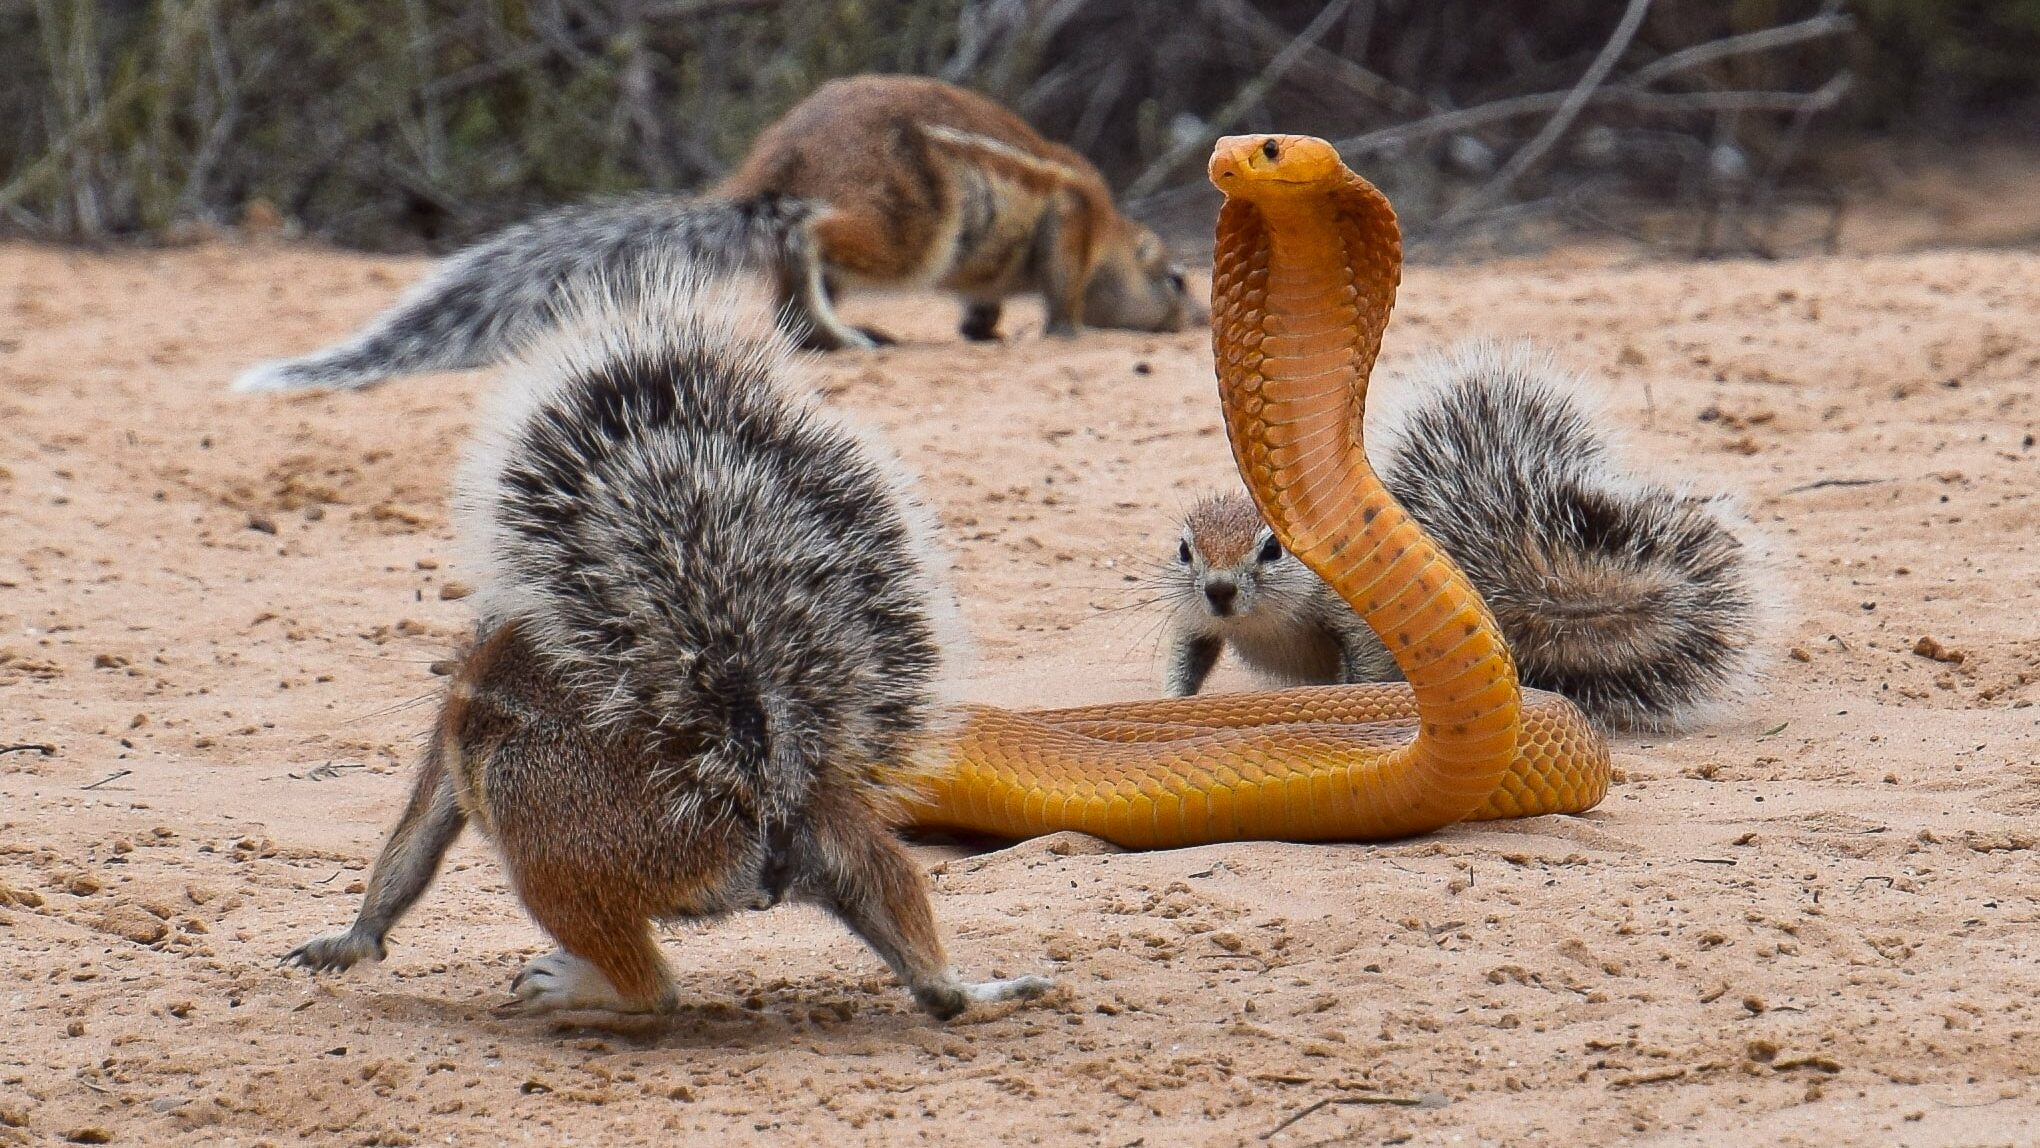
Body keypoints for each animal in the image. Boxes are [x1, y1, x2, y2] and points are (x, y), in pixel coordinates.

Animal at [234, 76, 1191, 393]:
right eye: (1177, 280)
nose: (1191, 322)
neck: (1112, 229)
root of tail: (781, 160)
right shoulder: (1069, 221)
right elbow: (1059, 284)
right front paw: (1062, 328)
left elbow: (983, 306)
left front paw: (987, 330)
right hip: (914, 220)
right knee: (810, 239)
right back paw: (852, 333)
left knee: (790, 293)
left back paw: (837, 336)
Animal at [287, 263, 1052, 1023]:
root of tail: (758, 784)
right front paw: (349, 943)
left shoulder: (455, 743)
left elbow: (413, 840)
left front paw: (350, 938)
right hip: (836, 845)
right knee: (901, 915)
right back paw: (980, 992)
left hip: (546, 814)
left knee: (652, 986)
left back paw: (583, 989)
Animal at [1166, 336, 1770, 734]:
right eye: (1184, 549)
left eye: (1273, 549)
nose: (1219, 591)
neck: (1261, 622)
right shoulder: (1194, 619)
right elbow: (1188, 656)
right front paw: (1172, 700)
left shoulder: (1352, 618)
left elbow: (1363, 663)